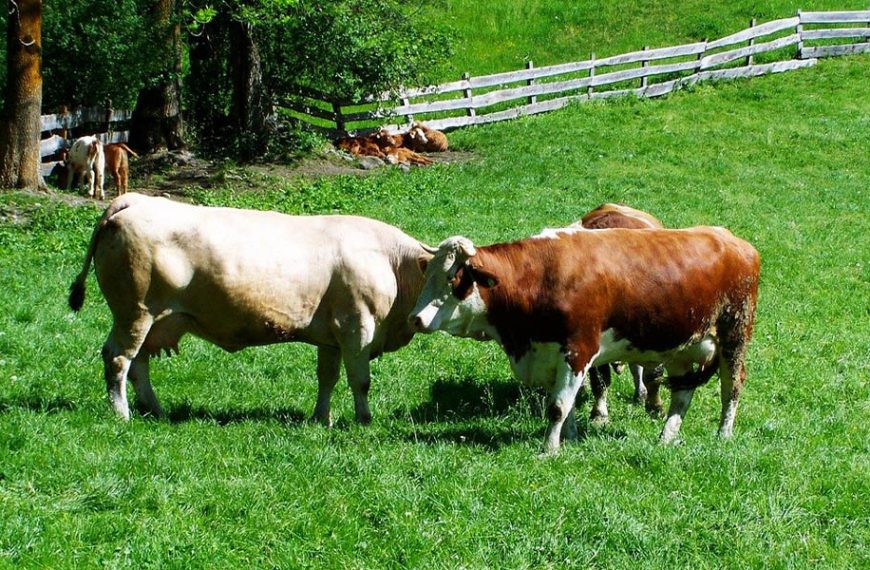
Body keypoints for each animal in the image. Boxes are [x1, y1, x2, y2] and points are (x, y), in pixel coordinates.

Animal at [68, 193, 429, 425]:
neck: (392, 261)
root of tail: (134, 200)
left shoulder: (332, 335)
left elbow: (327, 377)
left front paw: (320, 418)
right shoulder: (357, 326)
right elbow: (360, 380)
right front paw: (363, 420)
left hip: (150, 320)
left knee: (138, 363)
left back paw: (155, 410)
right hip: (135, 313)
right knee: (119, 359)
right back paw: (122, 415)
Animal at [410, 227, 759, 453]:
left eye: (454, 279)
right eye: (428, 276)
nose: (416, 318)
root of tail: (735, 241)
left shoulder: (578, 351)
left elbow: (557, 406)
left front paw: (549, 449)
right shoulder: (549, 355)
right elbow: (567, 406)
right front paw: (570, 438)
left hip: (734, 335)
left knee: (732, 386)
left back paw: (723, 435)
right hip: (682, 349)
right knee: (682, 394)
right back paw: (666, 437)